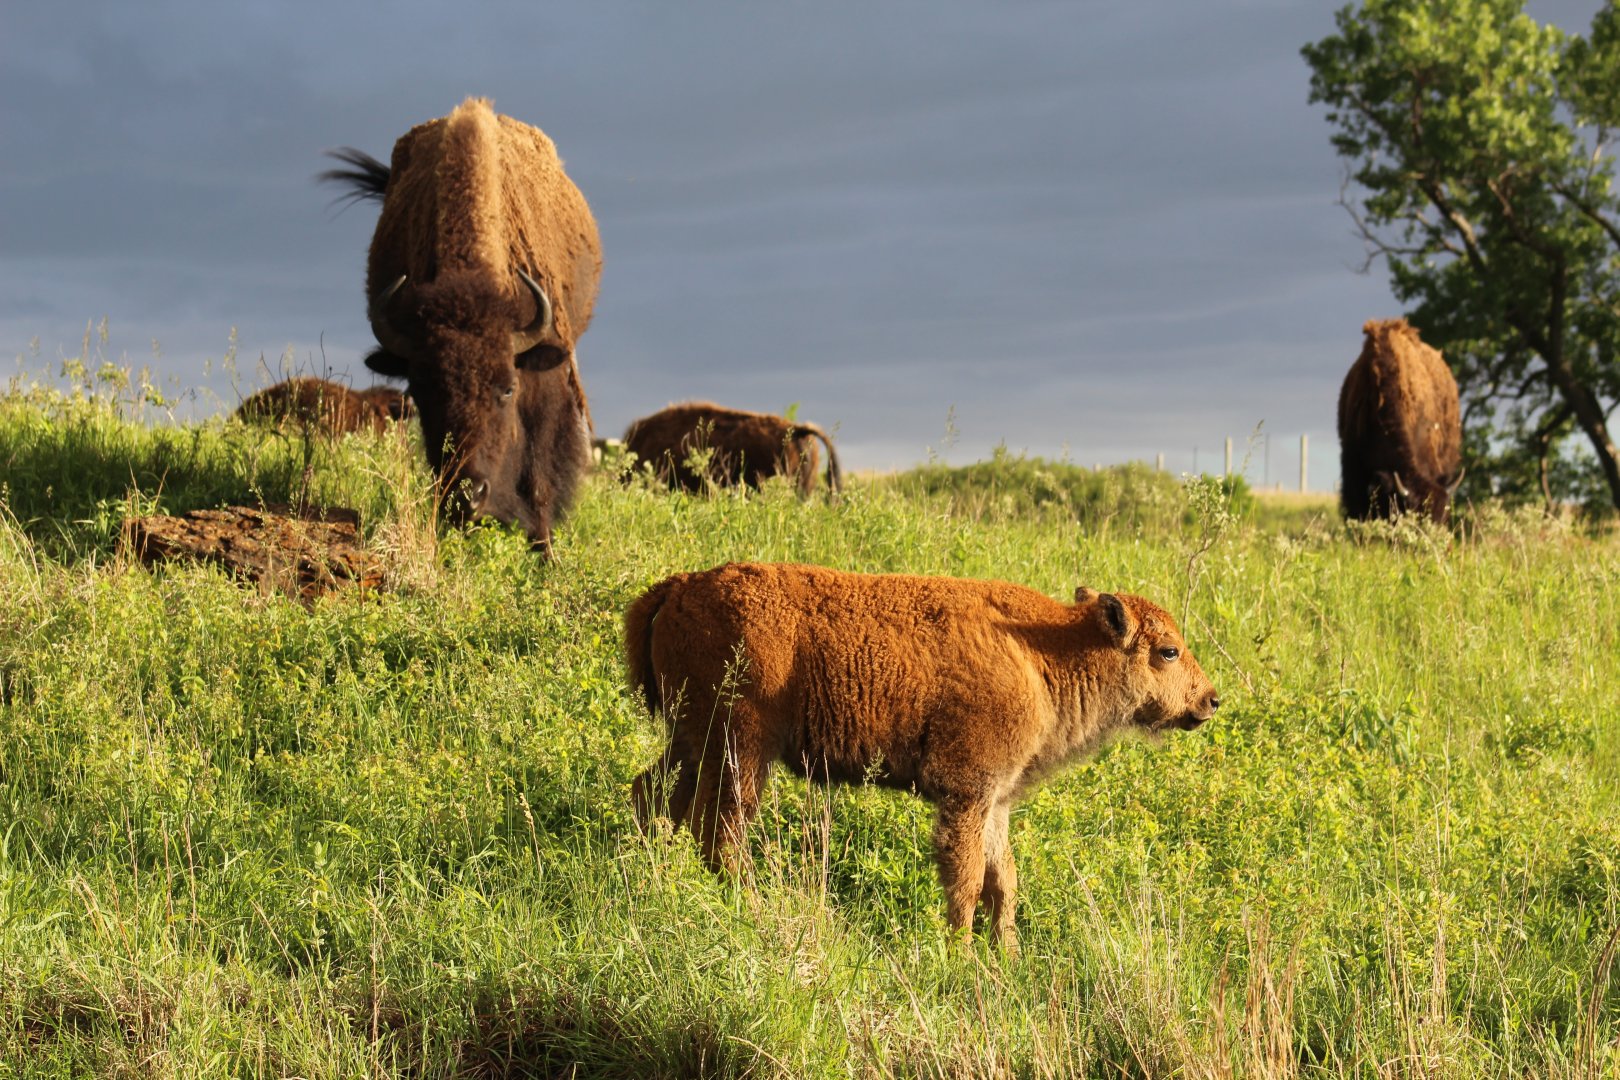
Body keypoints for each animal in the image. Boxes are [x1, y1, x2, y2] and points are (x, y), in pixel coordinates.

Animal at [625, 562, 1218, 946]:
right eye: (1168, 651)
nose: (1211, 700)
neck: (1044, 652)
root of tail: (678, 588)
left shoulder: (997, 801)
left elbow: (1003, 880)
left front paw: (1007, 956)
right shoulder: (967, 793)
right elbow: (968, 878)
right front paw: (960, 955)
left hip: (692, 742)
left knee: (655, 795)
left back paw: (649, 871)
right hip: (741, 749)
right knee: (720, 830)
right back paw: (749, 905)